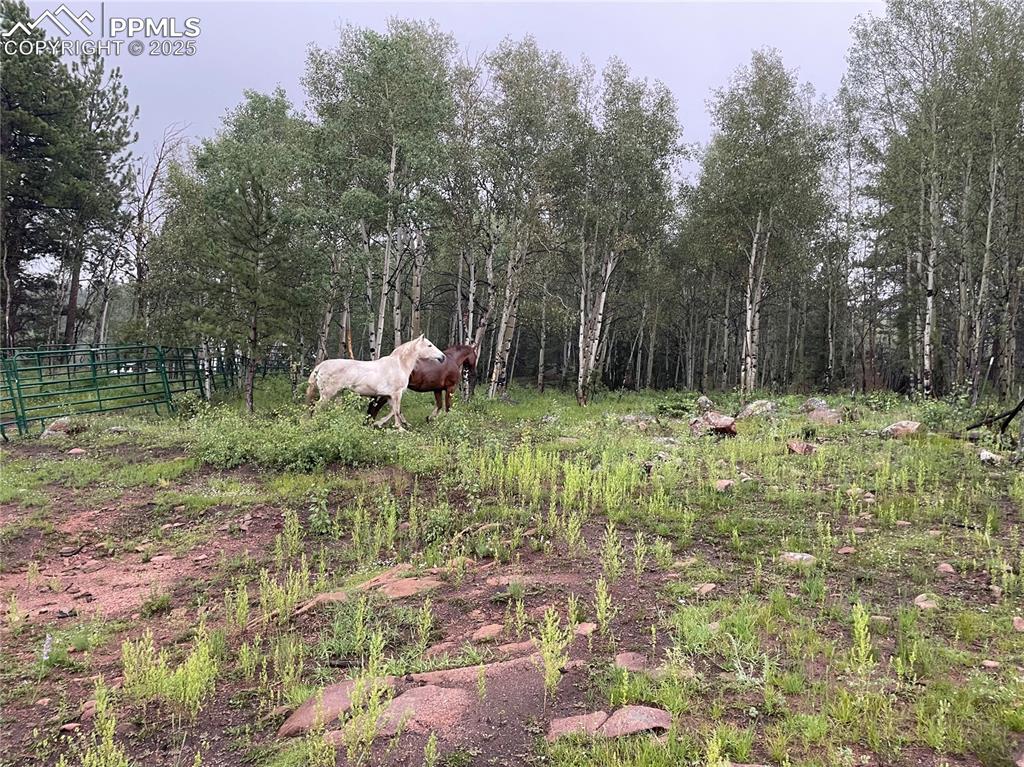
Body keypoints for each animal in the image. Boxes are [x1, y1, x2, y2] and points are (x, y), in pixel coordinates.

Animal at [305, 335, 446, 430]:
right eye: (429, 345)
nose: (442, 357)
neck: (399, 365)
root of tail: (320, 367)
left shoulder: (389, 396)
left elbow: (395, 411)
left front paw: (384, 423)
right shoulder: (396, 394)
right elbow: (396, 411)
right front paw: (400, 428)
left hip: (338, 393)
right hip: (328, 394)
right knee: (316, 407)